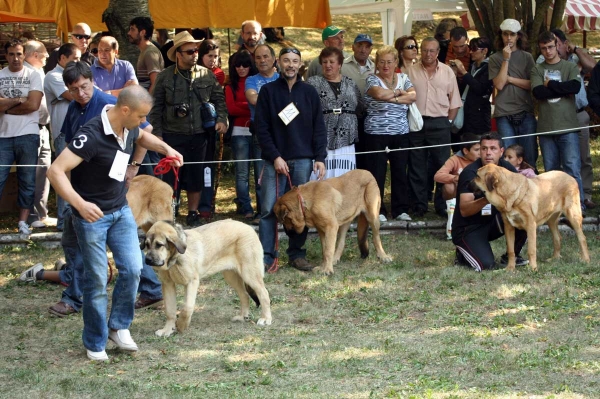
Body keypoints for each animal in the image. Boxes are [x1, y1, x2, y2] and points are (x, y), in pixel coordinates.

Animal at [141, 220, 272, 336]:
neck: (174, 258)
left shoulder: (192, 282)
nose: (147, 260)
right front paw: (167, 330)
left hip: (249, 274)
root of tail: (249, 228)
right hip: (231, 276)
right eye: (147, 245)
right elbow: (170, 311)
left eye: (159, 245)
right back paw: (242, 317)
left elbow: (187, 307)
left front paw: (182, 325)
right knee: (244, 295)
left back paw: (266, 318)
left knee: (264, 294)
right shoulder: (167, 284)